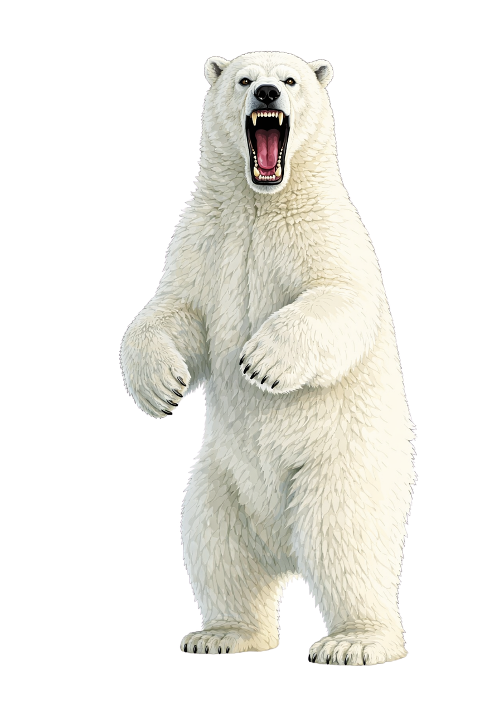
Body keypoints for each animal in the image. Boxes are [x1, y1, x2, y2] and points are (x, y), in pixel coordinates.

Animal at [120, 51, 415, 665]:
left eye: (290, 79)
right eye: (243, 78)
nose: (266, 95)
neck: (263, 202)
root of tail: (283, 549)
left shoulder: (327, 231)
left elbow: (340, 296)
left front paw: (261, 362)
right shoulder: (206, 239)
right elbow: (177, 310)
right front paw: (161, 385)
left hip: (341, 467)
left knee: (345, 542)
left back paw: (355, 641)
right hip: (220, 481)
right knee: (213, 543)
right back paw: (221, 634)